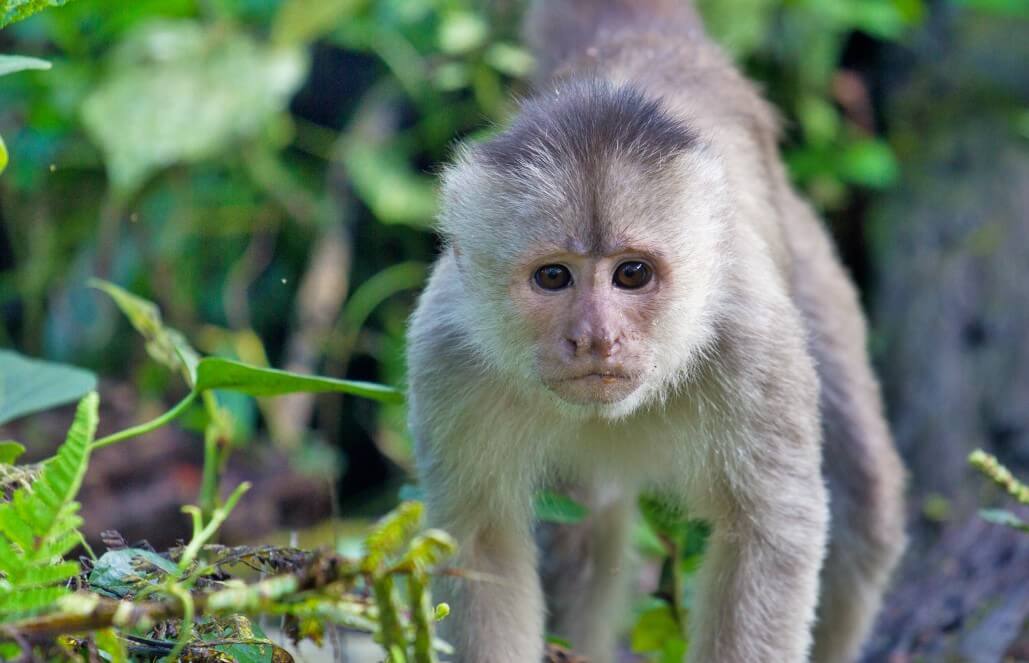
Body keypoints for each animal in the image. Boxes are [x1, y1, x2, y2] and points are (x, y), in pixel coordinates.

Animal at [405, 2, 905, 658]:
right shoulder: (445, 355)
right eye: (553, 276)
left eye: (632, 274)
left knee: (866, 508)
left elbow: (770, 531)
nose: (595, 338)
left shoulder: (752, 337)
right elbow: (480, 542)